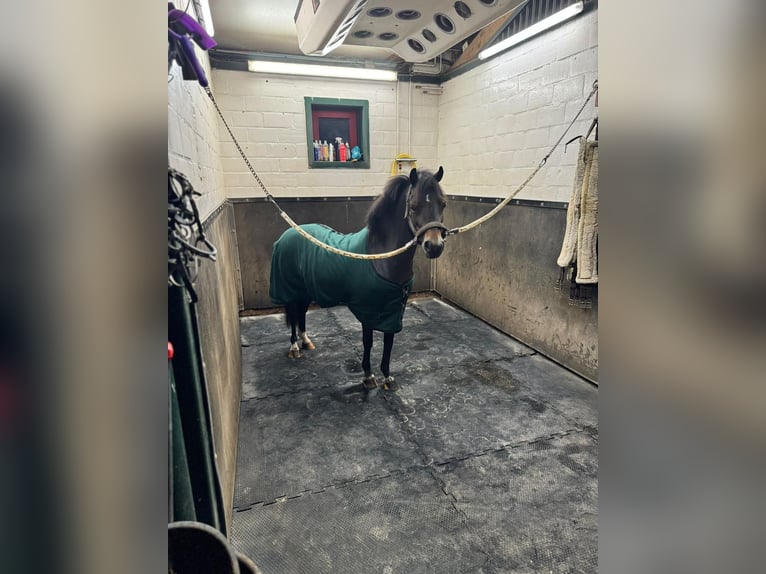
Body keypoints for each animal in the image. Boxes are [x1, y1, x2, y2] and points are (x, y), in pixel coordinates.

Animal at [269, 167, 448, 392]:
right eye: (414, 206)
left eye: (443, 203)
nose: (434, 246)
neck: (380, 257)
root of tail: (288, 233)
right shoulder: (368, 310)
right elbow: (368, 342)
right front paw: (368, 376)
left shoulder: (393, 310)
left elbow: (389, 342)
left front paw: (387, 377)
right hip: (291, 290)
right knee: (293, 315)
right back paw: (294, 347)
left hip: (305, 290)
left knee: (300, 313)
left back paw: (306, 341)